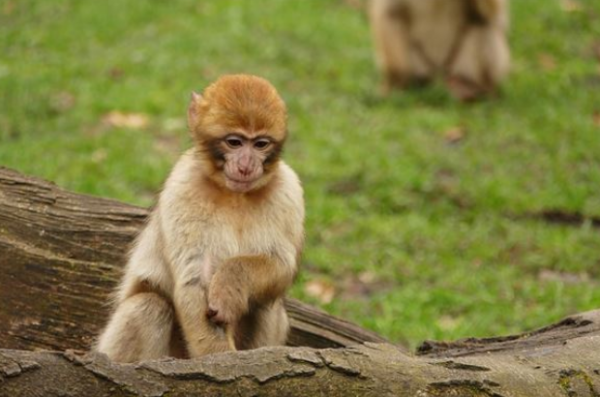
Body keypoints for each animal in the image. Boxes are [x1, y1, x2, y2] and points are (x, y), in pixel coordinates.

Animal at [99, 74, 308, 362]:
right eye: (235, 142)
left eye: (260, 144)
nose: (246, 166)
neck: (235, 195)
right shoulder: (184, 187)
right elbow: (195, 278)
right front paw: (222, 360)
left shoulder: (288, 190)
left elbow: (281, 264)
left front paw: (231, 282)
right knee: (149, 306)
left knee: (267, 306)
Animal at [370, 0, 510, 100]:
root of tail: (440, 76)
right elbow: (391, 13)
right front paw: (395, 84)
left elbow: (493, 13)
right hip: (421, 65)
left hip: (464, 67)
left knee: (482, 23)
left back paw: (480, 90)